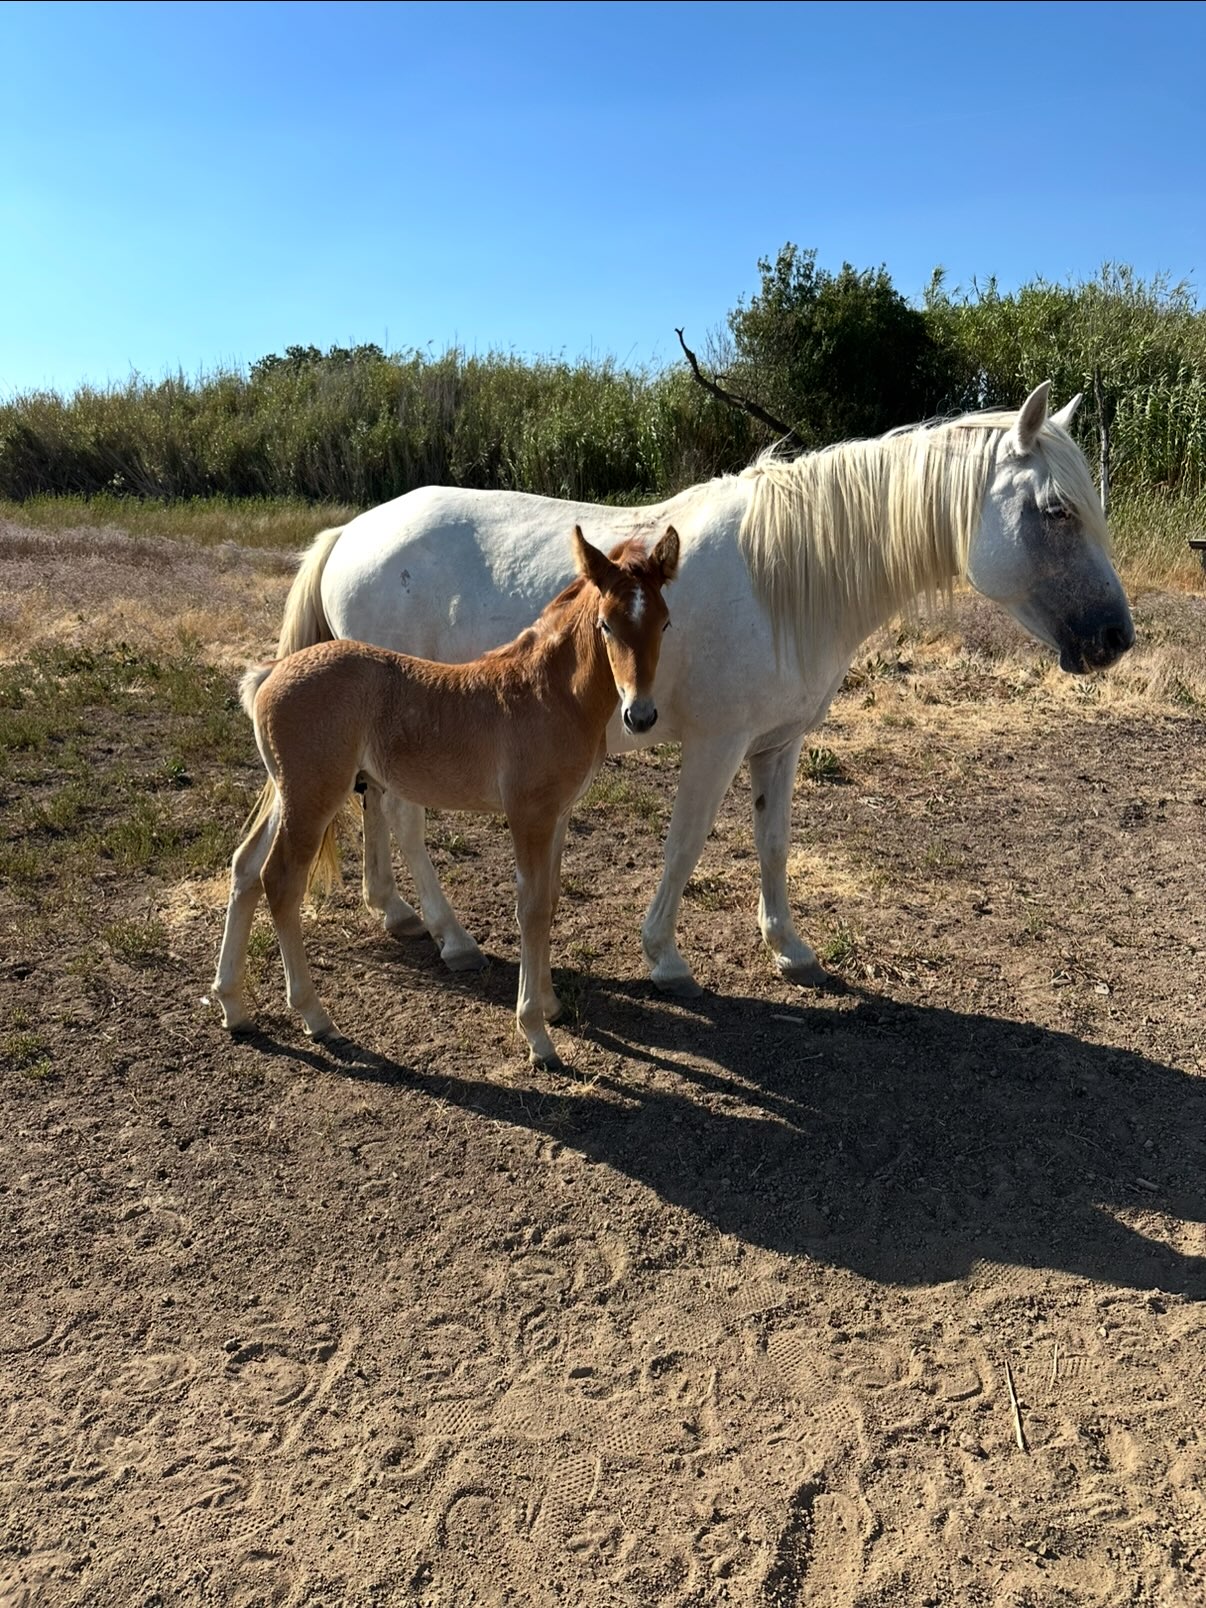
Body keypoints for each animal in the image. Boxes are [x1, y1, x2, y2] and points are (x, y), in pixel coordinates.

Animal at [213, 523, 680, 1066]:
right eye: (606, 625)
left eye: (664, 624)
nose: (639, 715)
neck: (549, 694)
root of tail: (270, 673)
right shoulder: (529, 814)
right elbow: (530, 908)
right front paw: (536, 1034)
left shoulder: (559, 814)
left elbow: (550, 900)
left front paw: (551, 1004)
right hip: (313, 796)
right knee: (281, 880)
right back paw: (316, 1016)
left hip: (290, 793)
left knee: (245, 866)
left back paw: (232, 1006)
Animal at [267, 381, 1134, 998]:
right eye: (1057, 510)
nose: (1116, 638)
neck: (781, 574)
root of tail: (353, 532)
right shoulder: (716, 746)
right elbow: (685, 845)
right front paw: (664, 956)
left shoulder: (780, 744)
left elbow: (774, 844)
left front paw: (790, 949)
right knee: (406, 823)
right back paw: (453, 938)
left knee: (377, 810)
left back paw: (397, 914)